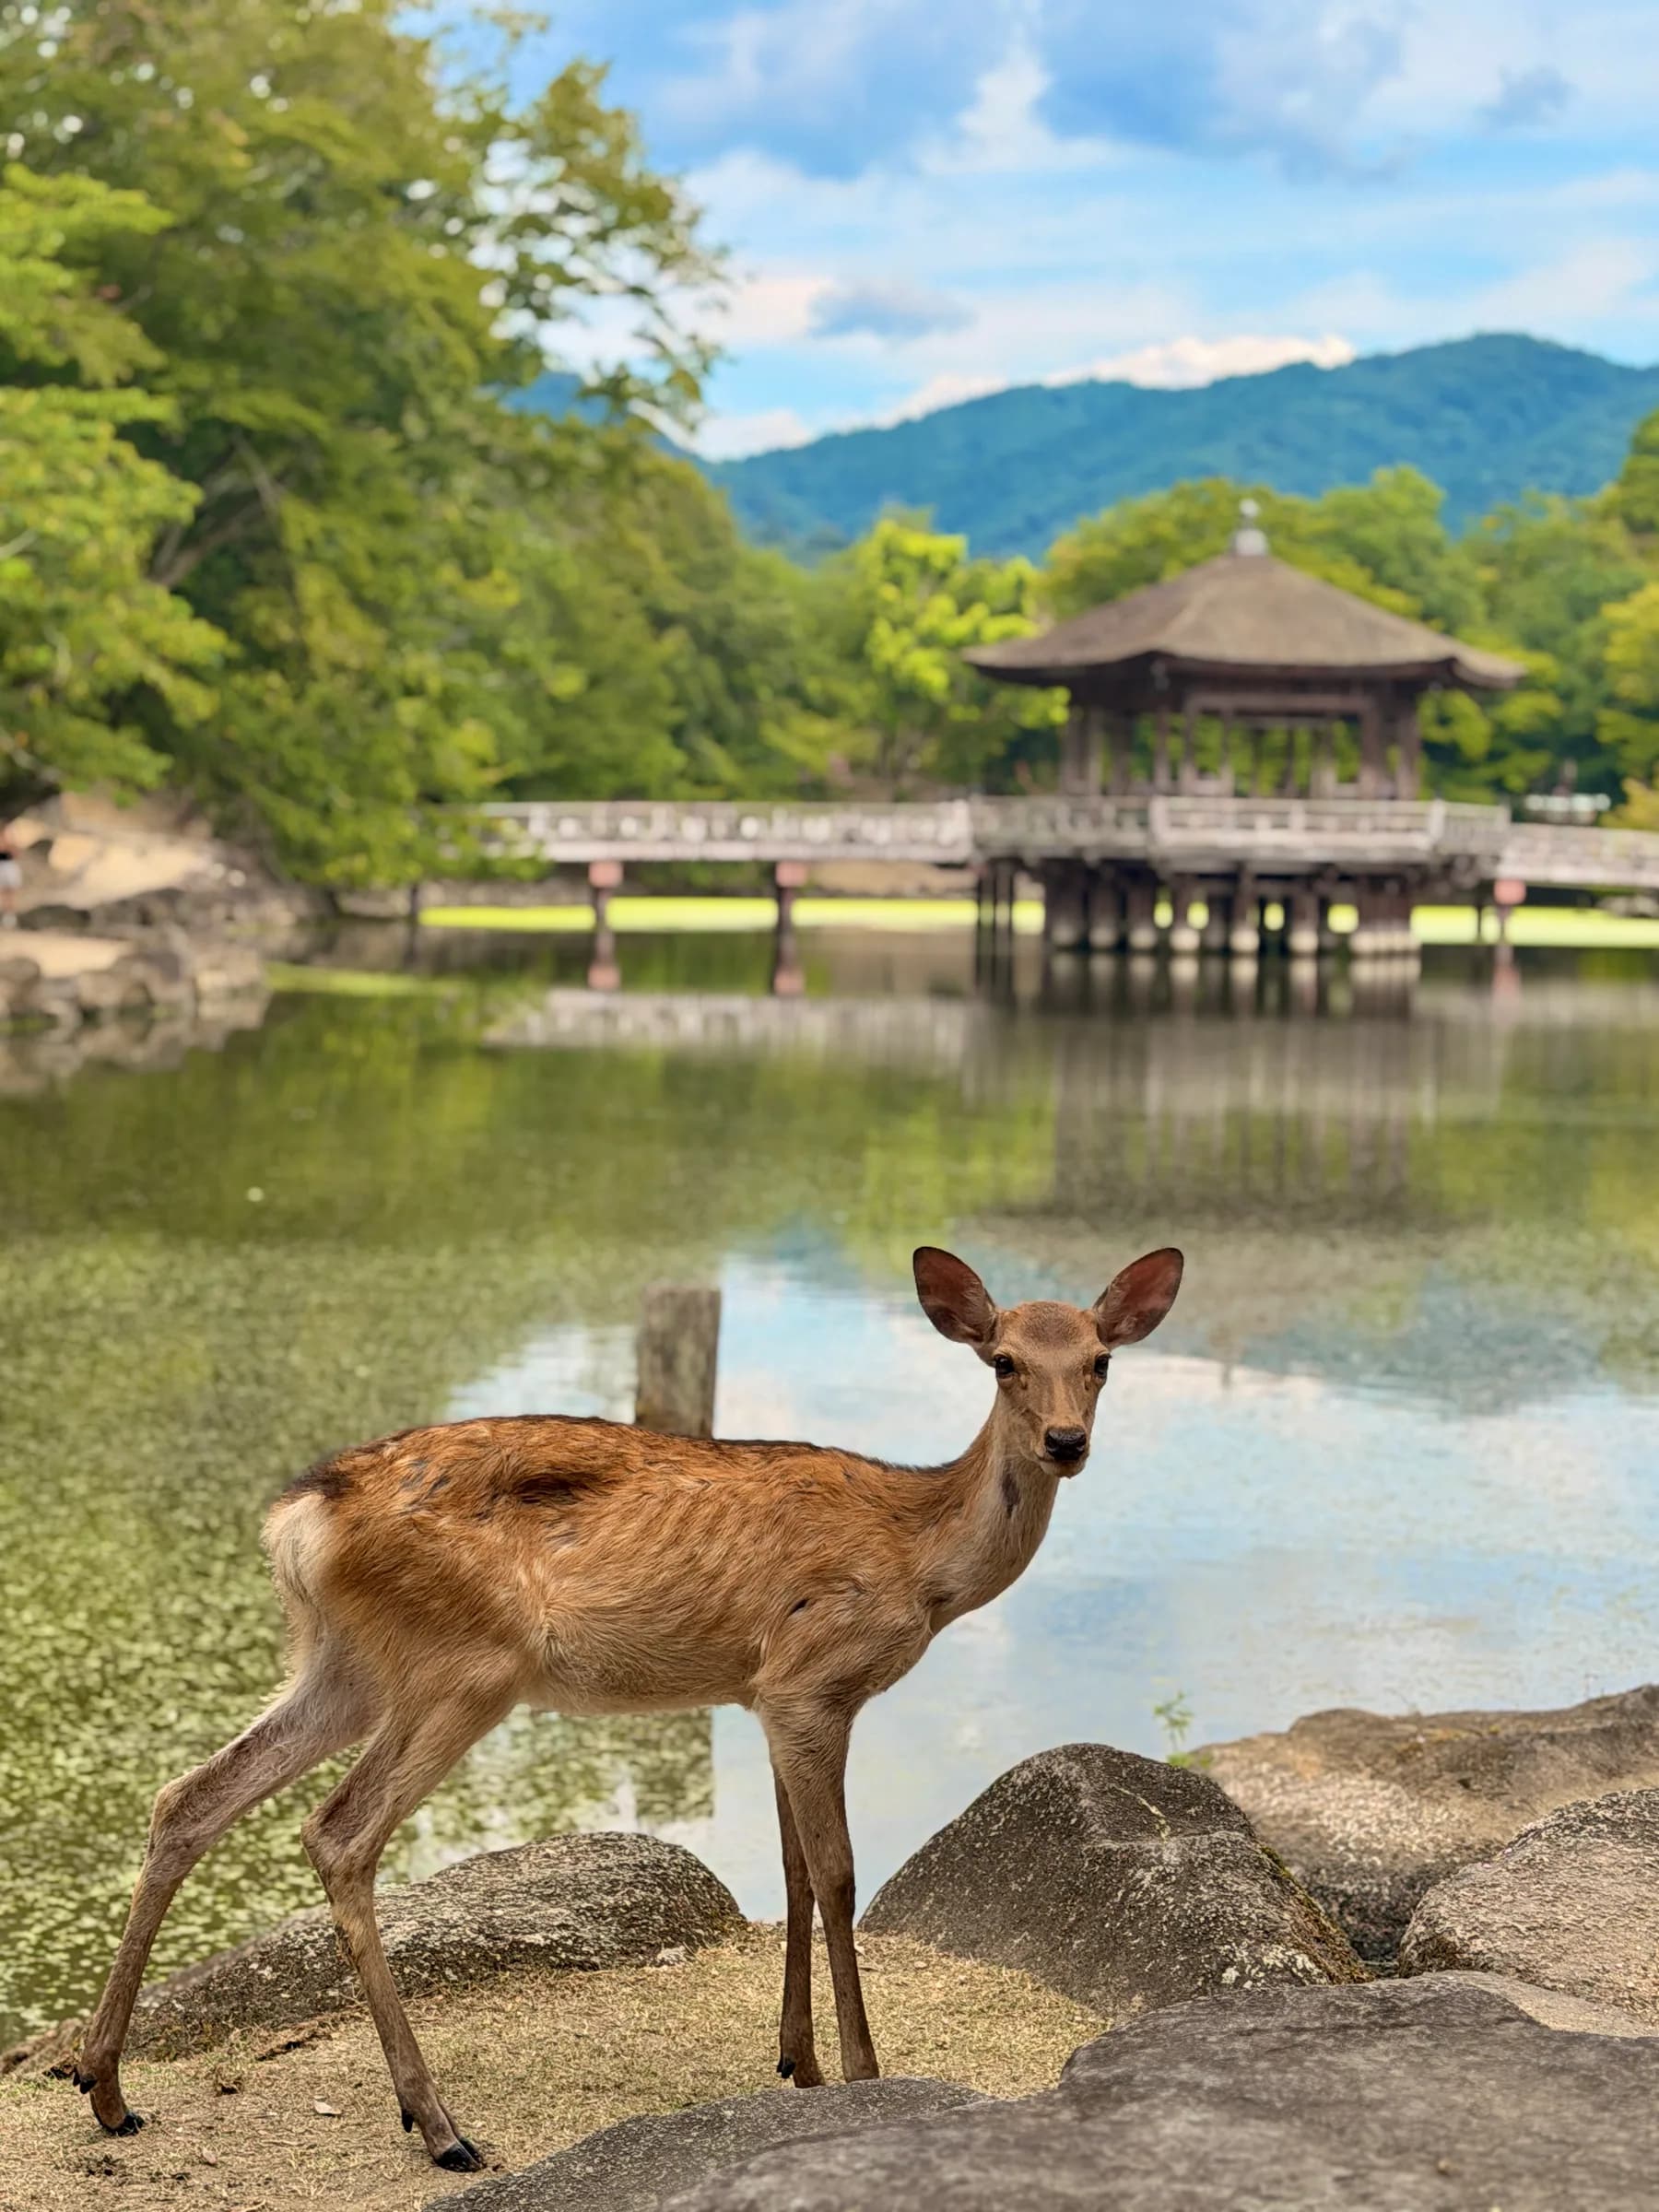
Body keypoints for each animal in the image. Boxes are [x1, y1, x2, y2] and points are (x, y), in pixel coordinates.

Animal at [73, 1242, 1183, 2170]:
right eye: (1002, 1360)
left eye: (1101, 1361)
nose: (1065, 1441)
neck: (922, 1562)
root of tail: (302, 1517)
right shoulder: (810, 1679)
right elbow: (835, 1873)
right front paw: (868, 2072)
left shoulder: (762, 1696)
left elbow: (787, 1869)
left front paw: (799, 2063)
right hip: (467, 1663)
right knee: (337, 1832)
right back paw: (439, 2128)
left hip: (344, 1664)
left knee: (190, 1795)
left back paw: (108, 2087)